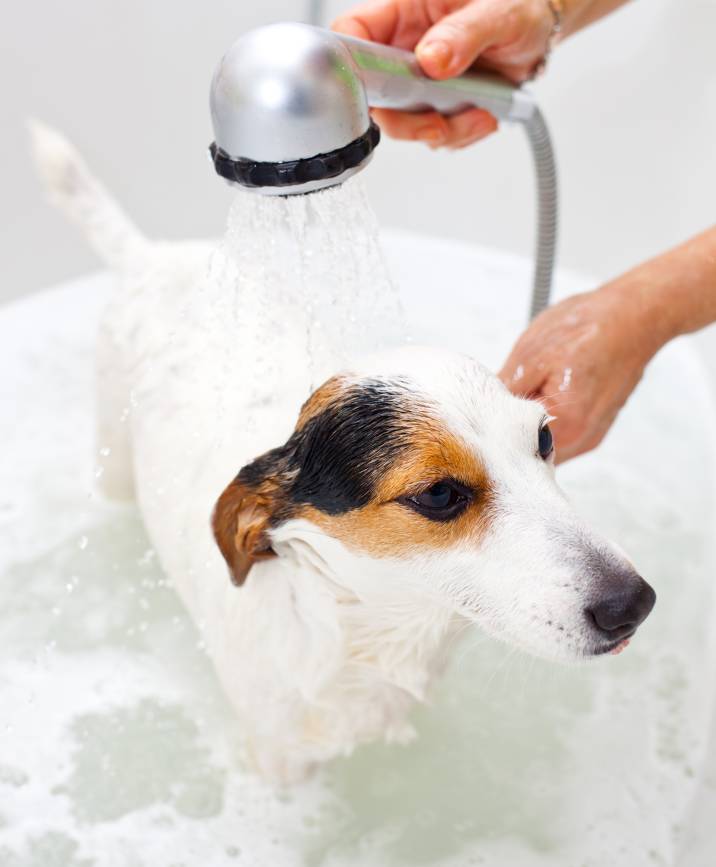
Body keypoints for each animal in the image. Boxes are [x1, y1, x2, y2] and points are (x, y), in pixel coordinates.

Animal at [32, 124, 656, 788]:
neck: (362, 632)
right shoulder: (278, 761)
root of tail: (145, 258)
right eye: (439, 494)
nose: (632, 604)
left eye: (543, 438)